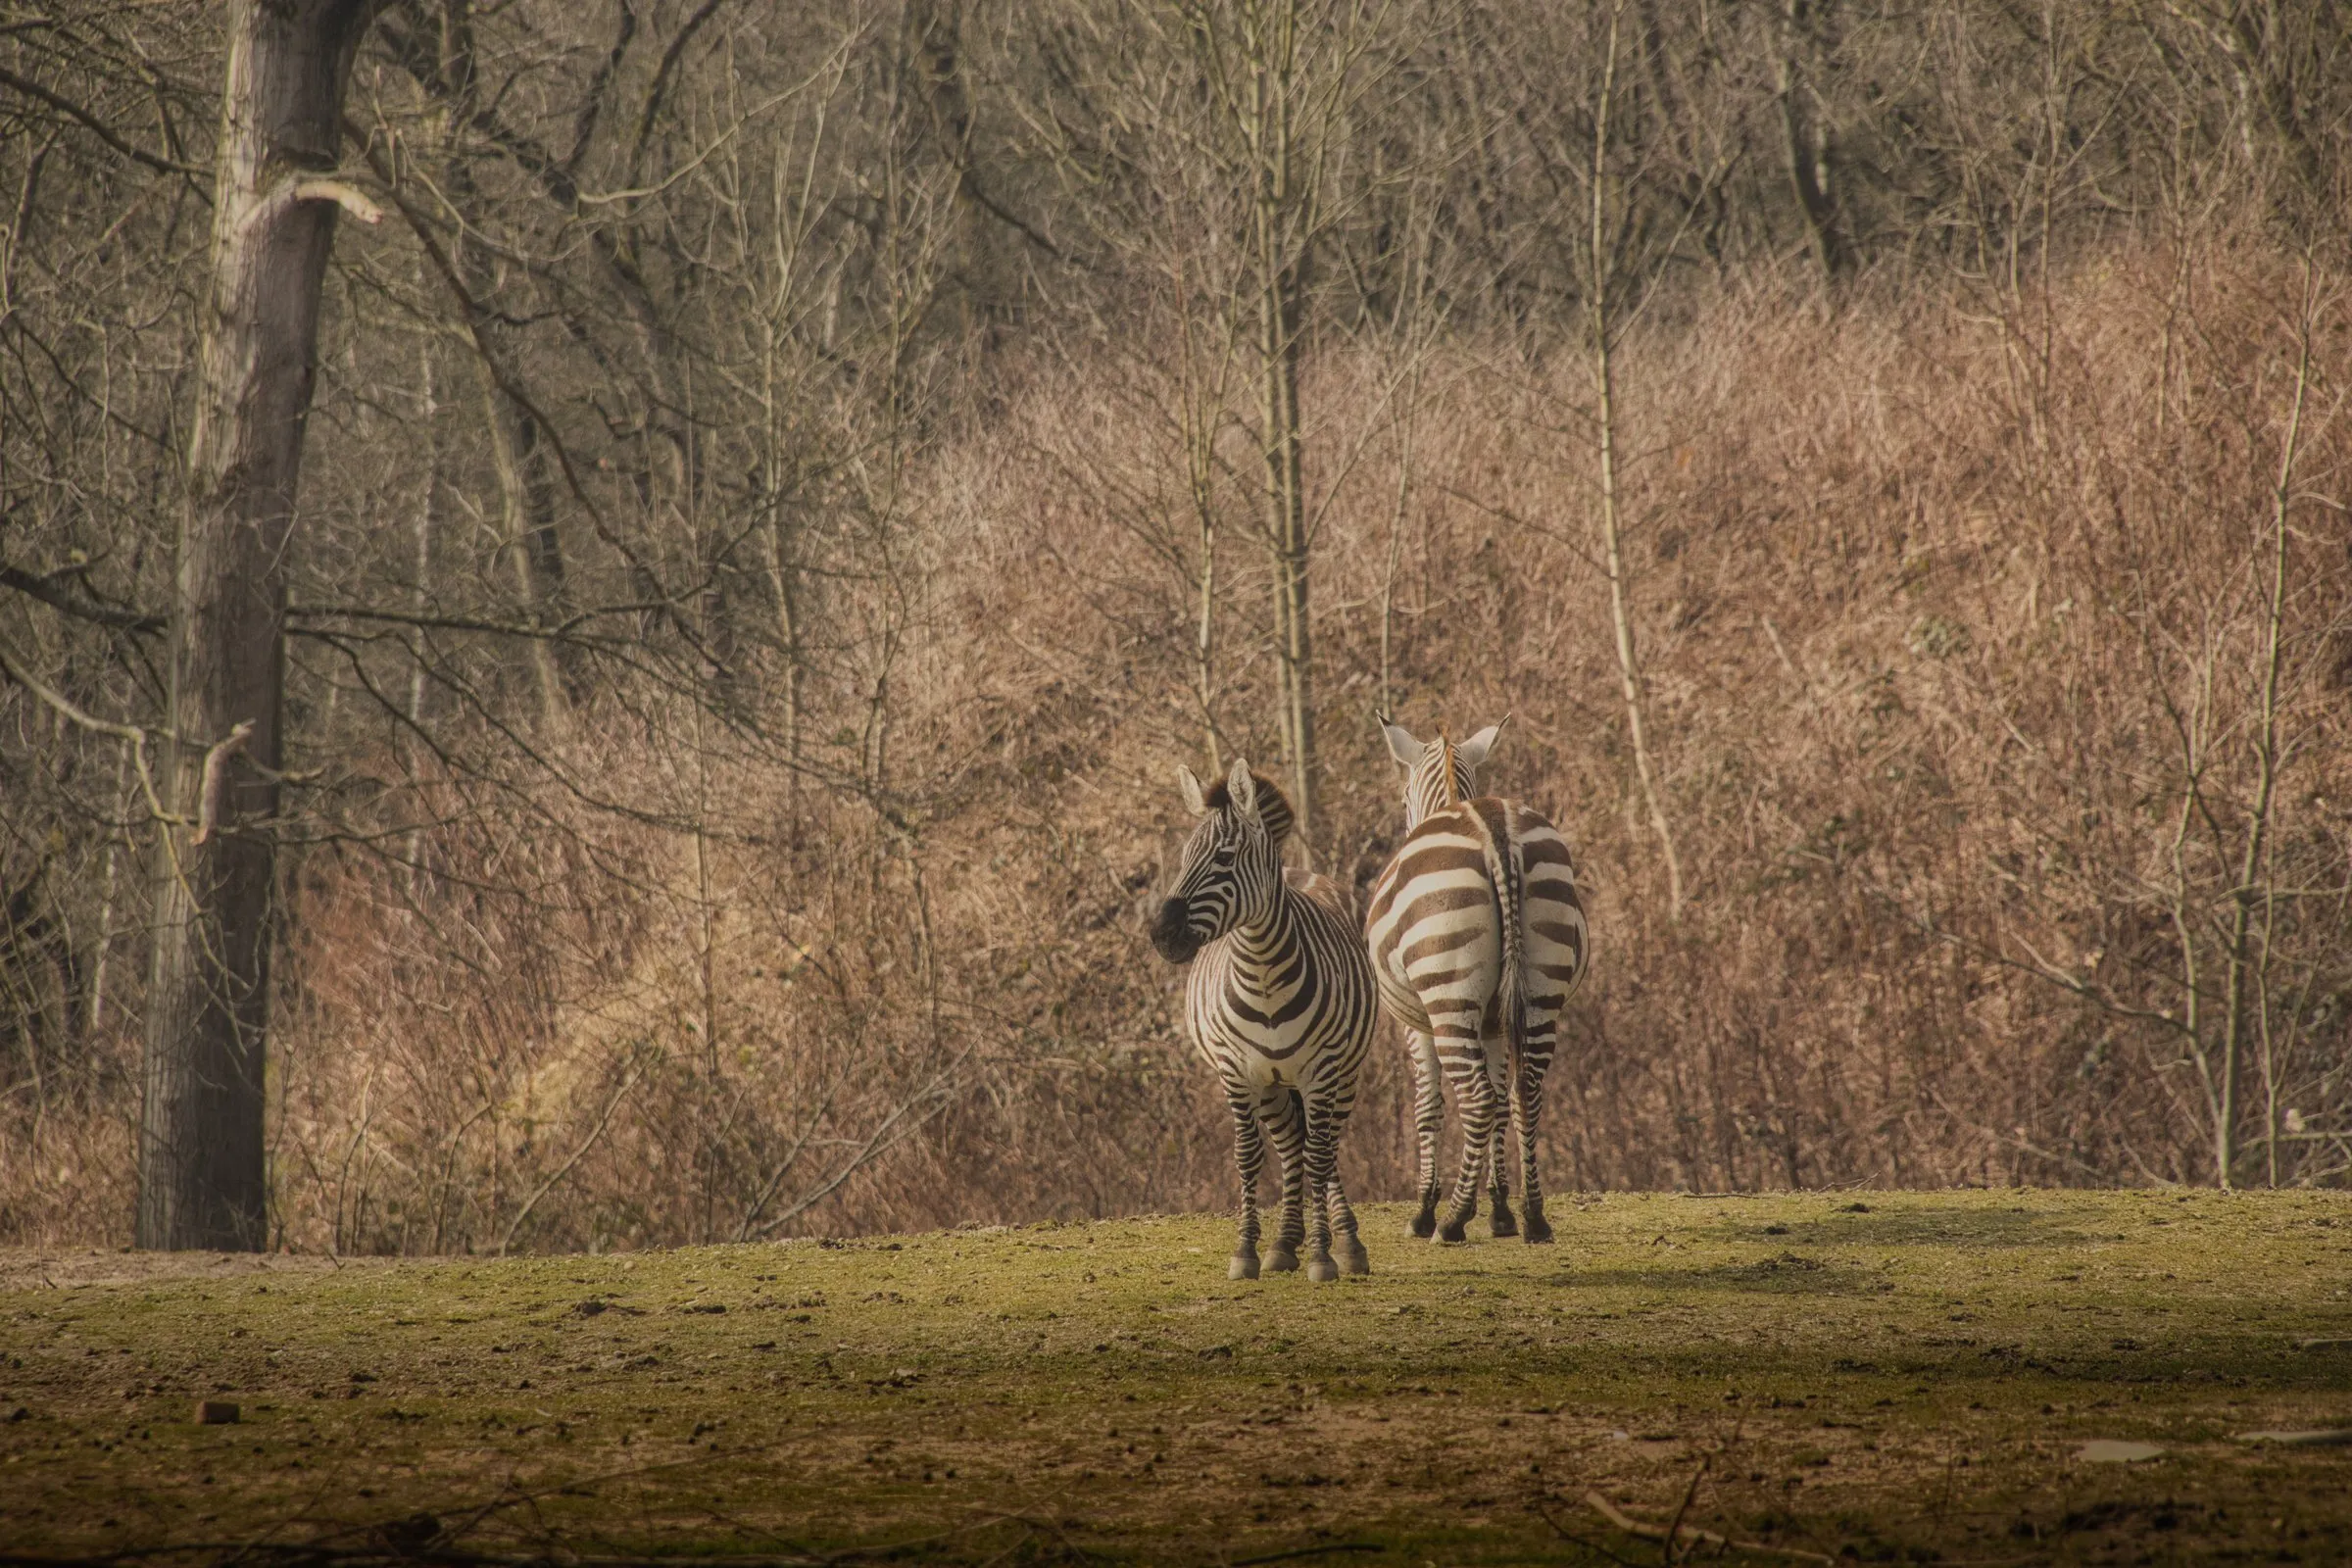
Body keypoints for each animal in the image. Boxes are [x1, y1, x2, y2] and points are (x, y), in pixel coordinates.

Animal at [1149, 759, 1377, 1282]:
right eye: (1183, 857)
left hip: (1345, 1073)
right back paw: (1285, 1243)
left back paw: (1345, 1242)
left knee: (1324, 1147)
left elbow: (1320, 1157)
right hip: (1273, 1083)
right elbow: (1248, 1156)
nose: (1161, 934)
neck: (1262, 970)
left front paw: (1323, 1256)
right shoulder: (1237, 1071)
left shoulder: (1322, 1069)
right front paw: (1247, 1251)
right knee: (1293, 1146)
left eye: (1224, 858)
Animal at [1364, 716, 1591, 1245]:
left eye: (1402, 798)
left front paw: (1425, 1209)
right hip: (1541, 990)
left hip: (1448, 996)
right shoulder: (1494, 1022)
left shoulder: (1417, 1026)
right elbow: (1503, 1101)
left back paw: (1451, 1219)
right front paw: (1502, 1209)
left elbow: (1429, 1107)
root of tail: (1495, 829)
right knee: (1525, 1092)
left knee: (1477, 1098)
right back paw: (1534, 1216)